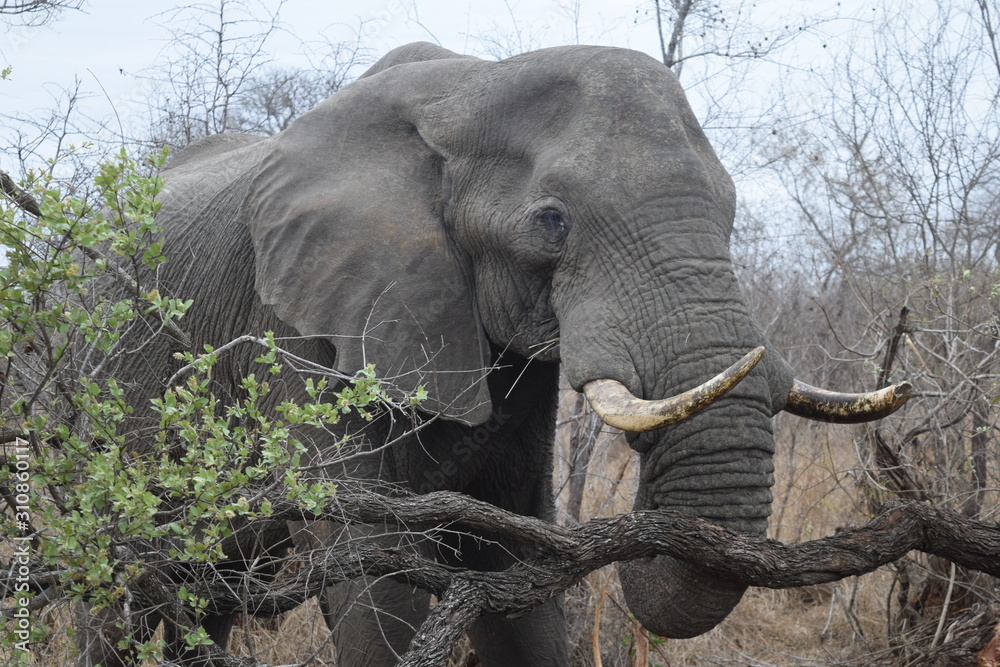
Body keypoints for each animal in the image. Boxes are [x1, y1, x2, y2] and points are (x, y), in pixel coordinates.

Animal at [86, 41, 910, 667]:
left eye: (732, 210)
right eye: (552, 221)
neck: (466, 87)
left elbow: (511, 561)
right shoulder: (301, 329)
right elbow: (373, 579)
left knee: (206, 593)